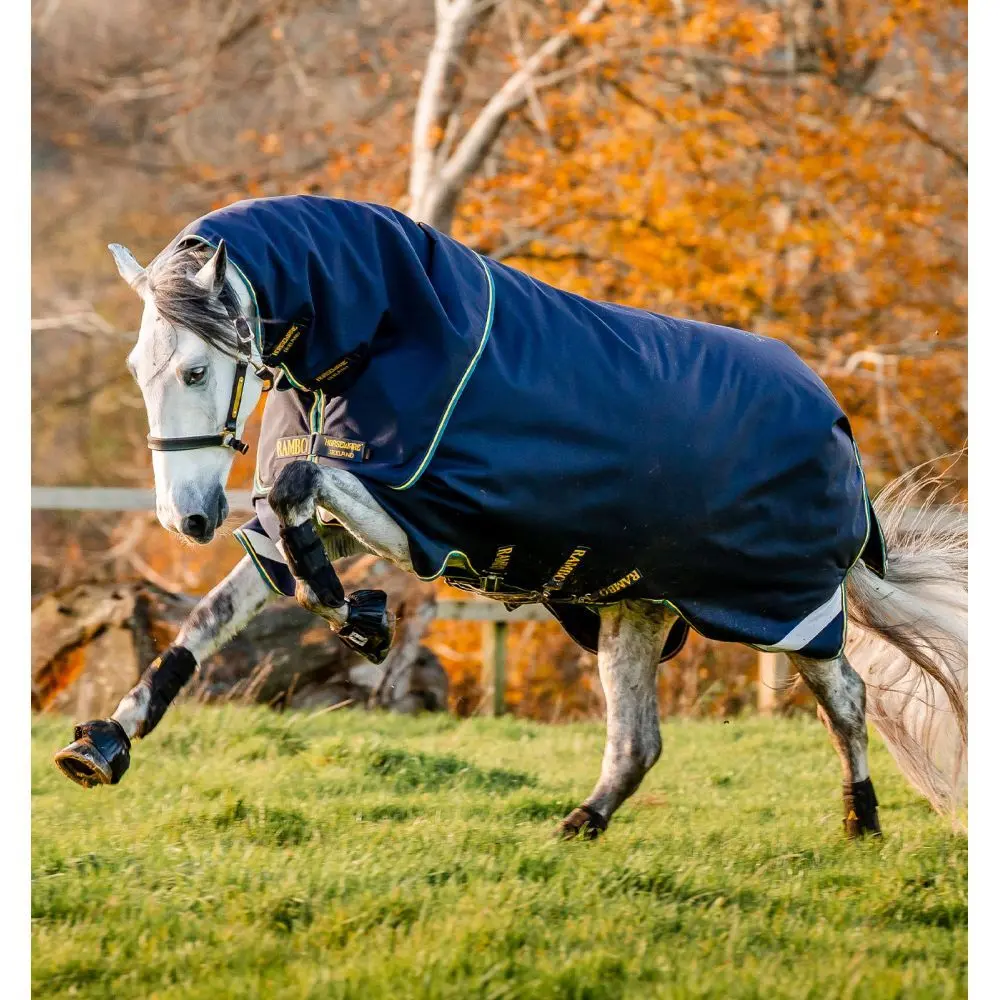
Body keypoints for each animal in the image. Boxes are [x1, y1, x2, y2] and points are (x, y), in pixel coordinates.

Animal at [54, 195, 967, 839]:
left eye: (199, 370)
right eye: (140, 368)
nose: (188, 518)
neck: (379, 333)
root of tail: (836, 421)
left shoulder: (416, 515)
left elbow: (291, 498)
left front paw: (363, 622)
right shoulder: (353, 514)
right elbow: (219, 611)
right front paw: (103, 743)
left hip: (786, 605)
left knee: (846, 695)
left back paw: (861, 819)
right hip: (636, 604)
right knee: (639, 740)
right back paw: (581, 824)